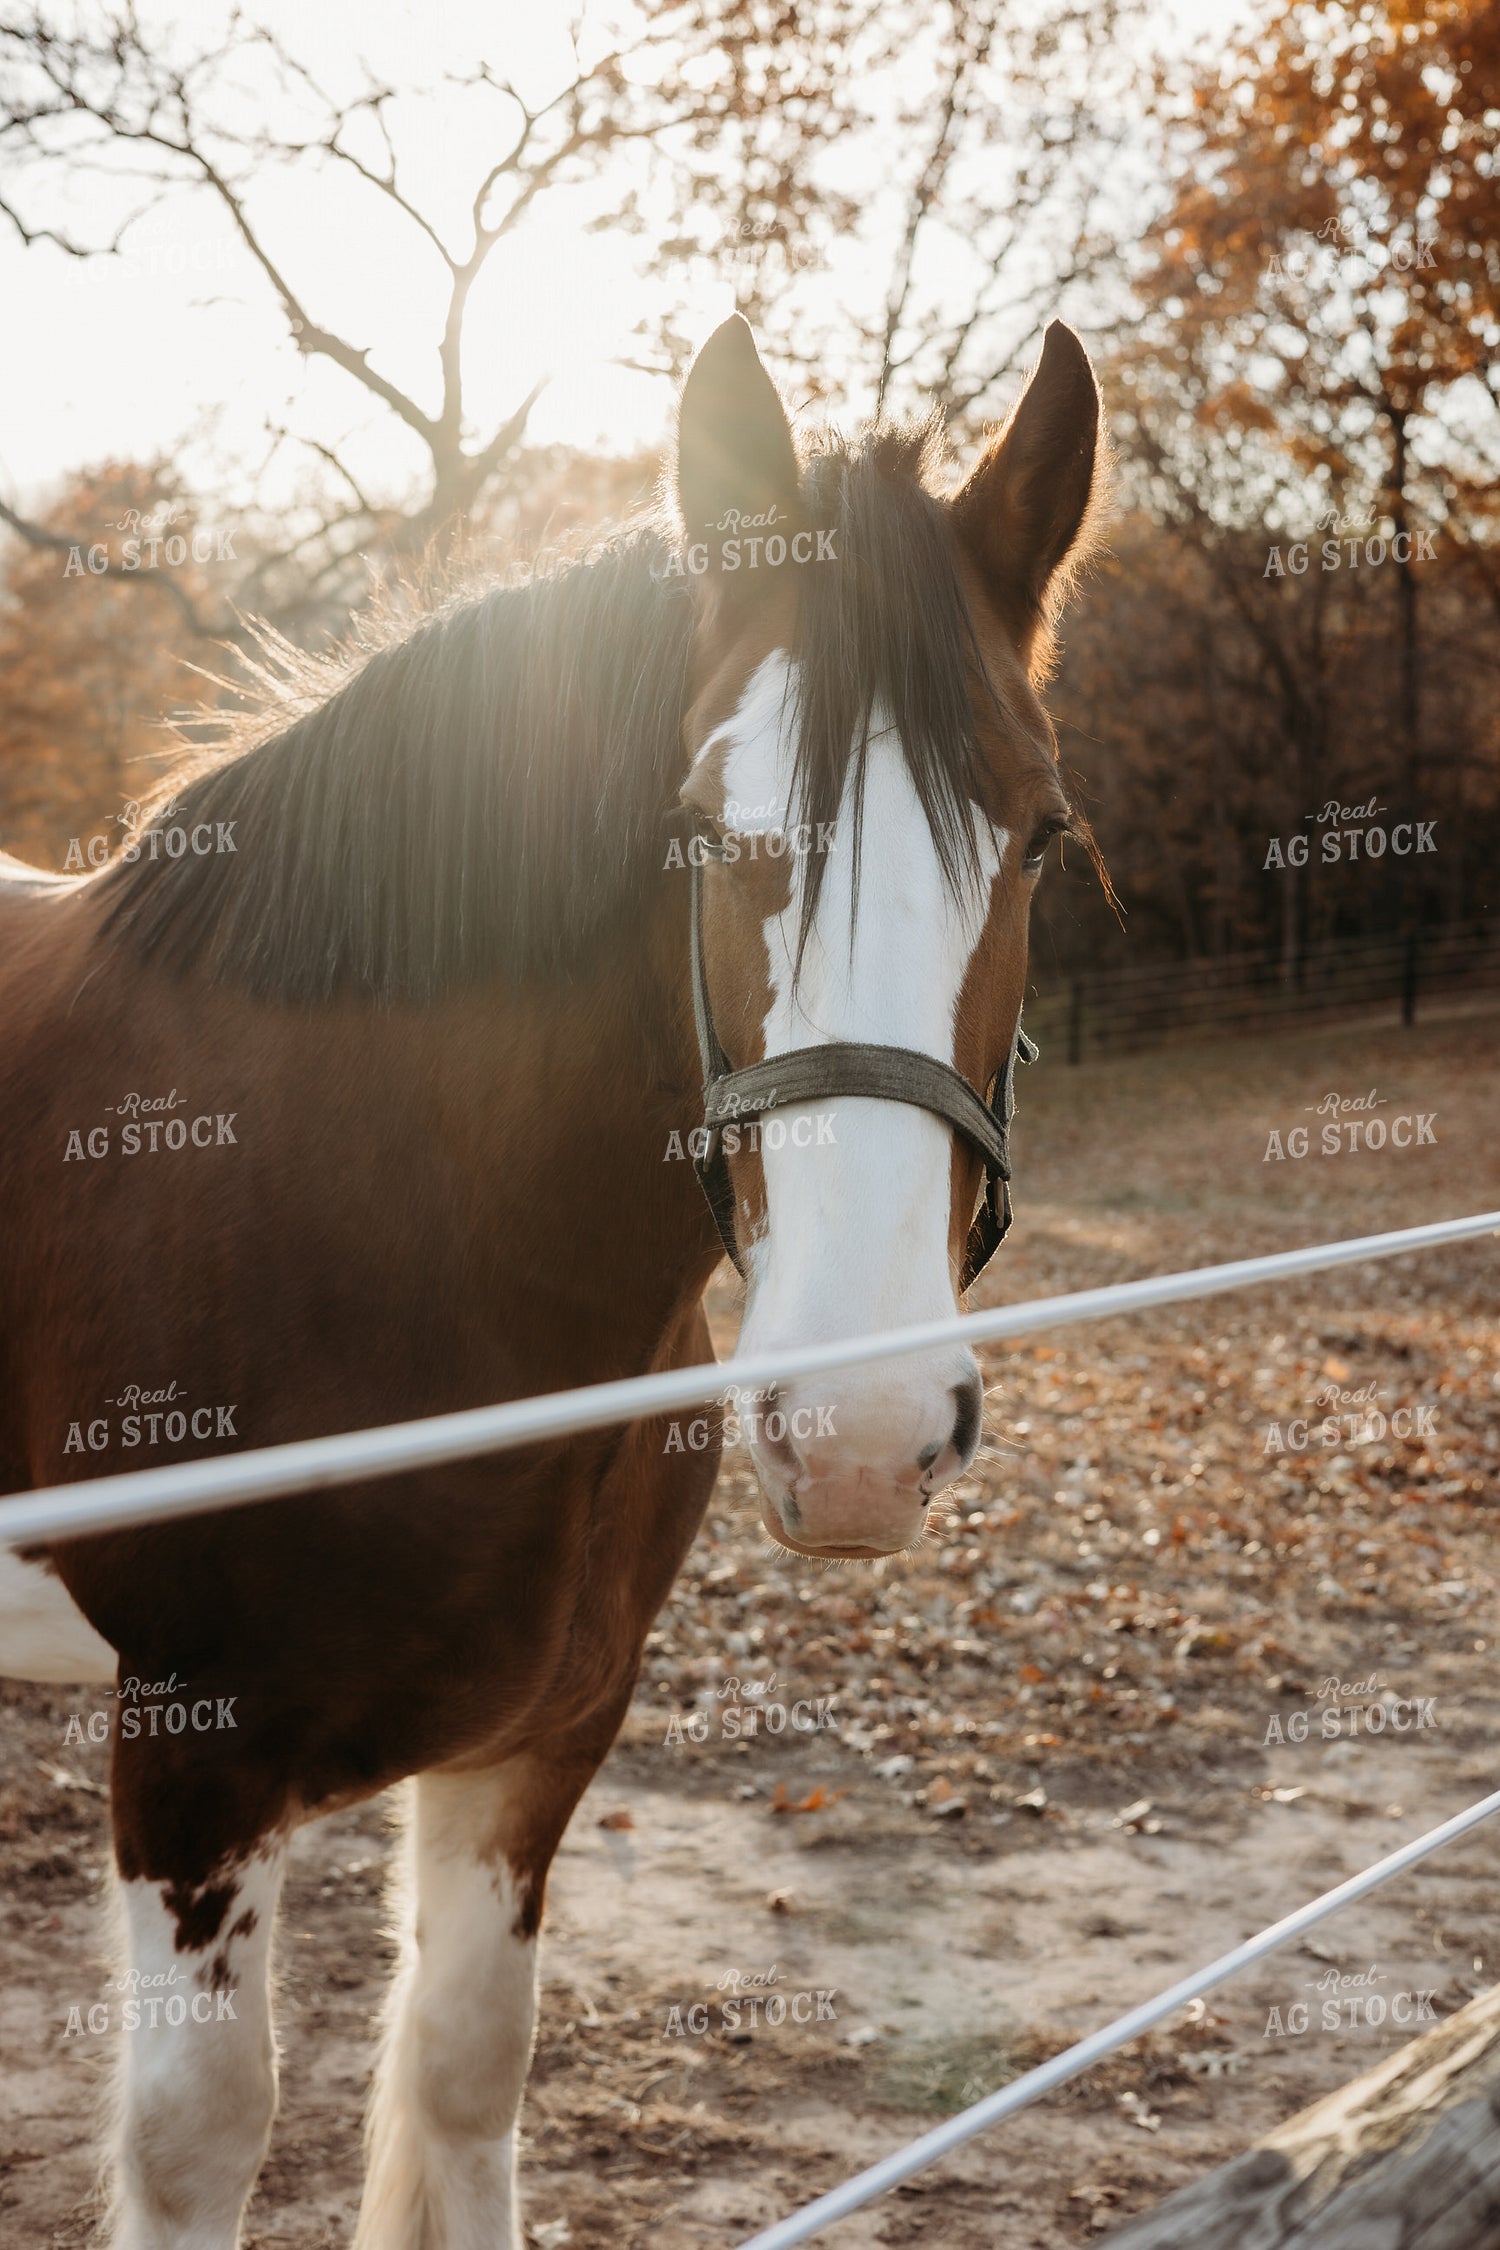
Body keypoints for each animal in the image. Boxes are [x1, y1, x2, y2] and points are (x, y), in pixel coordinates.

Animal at [0, 312, 1103, 2249]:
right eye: (701, 822)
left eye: (1038, 831)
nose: (863, 1434)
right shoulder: (191, 1757)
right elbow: (202, 2129)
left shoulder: (541, 1734)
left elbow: (463, 2070)